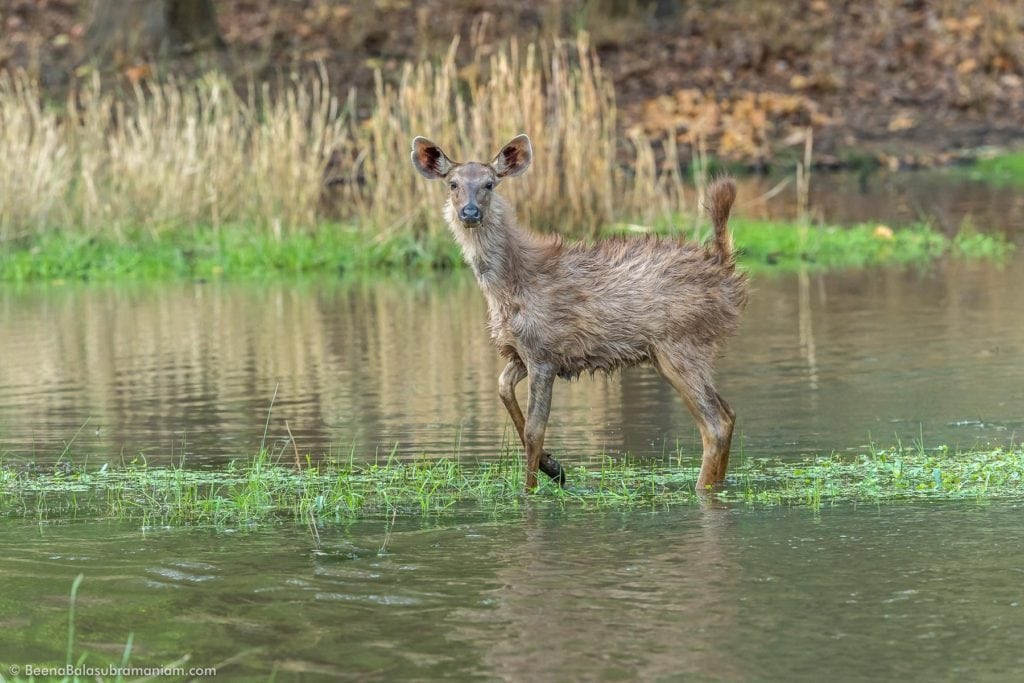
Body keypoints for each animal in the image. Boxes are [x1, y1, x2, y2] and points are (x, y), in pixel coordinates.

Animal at [411, 133, 749, 493]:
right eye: (453, 184)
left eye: (489, 183)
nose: (470, 211)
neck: (509, 288)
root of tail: (726, 270)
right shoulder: (520, 352)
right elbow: (502, 389)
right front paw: (554, 467)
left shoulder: (544, 353)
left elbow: (534, 431)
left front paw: (531, 490)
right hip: (676, 352)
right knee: (729, 412)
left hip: (681, 343)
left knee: (715, 424)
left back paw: (702, 488)